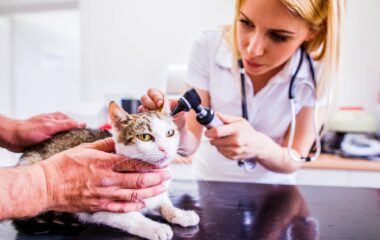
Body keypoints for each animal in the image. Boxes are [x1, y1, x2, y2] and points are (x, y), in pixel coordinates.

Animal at [18, 99, 200, 240]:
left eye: (170, 133)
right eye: (145, 137)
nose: (165, 149)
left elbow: (162, 201)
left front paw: (179, 213)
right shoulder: (97, 205)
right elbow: (129, 216)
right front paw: (154, 227)